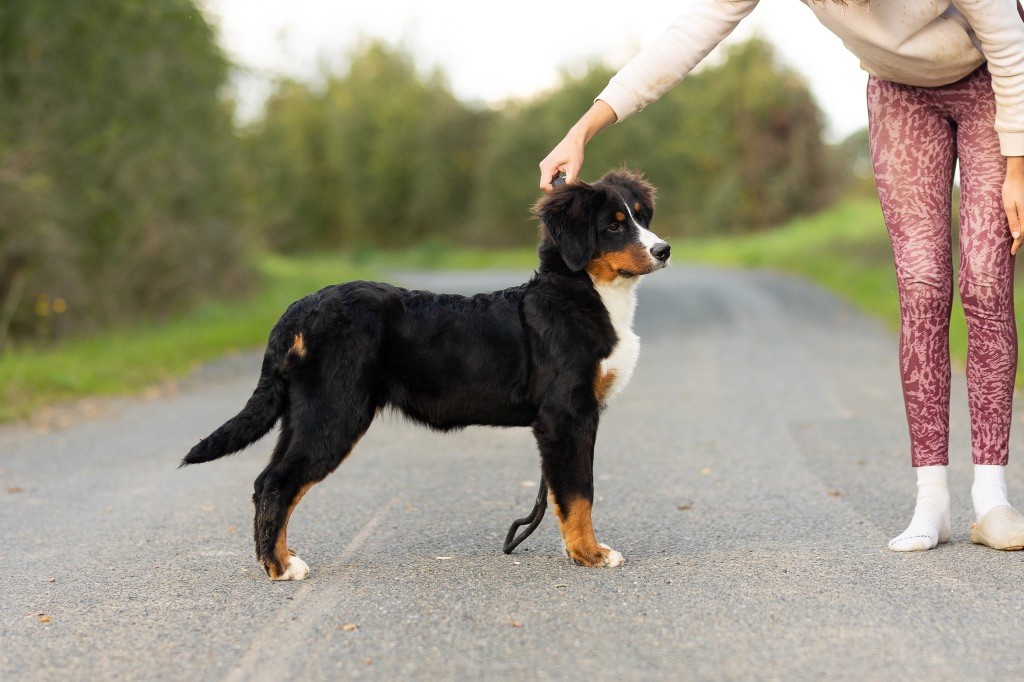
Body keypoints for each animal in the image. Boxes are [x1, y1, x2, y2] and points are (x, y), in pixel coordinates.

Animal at [180, 166, 667, 577]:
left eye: (641, 215)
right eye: (614, 225)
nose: (663, 250)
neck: (585, 296)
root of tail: (301, 308)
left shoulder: (571, 417)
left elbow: (566, 491)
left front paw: (582, 550)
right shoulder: (567, 415)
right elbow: (578, 492)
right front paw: (590, 554)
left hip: (307, 413)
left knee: (268, 481)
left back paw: (279, 557)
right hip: (335, 412)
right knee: (277, 483)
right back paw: (280, 567)